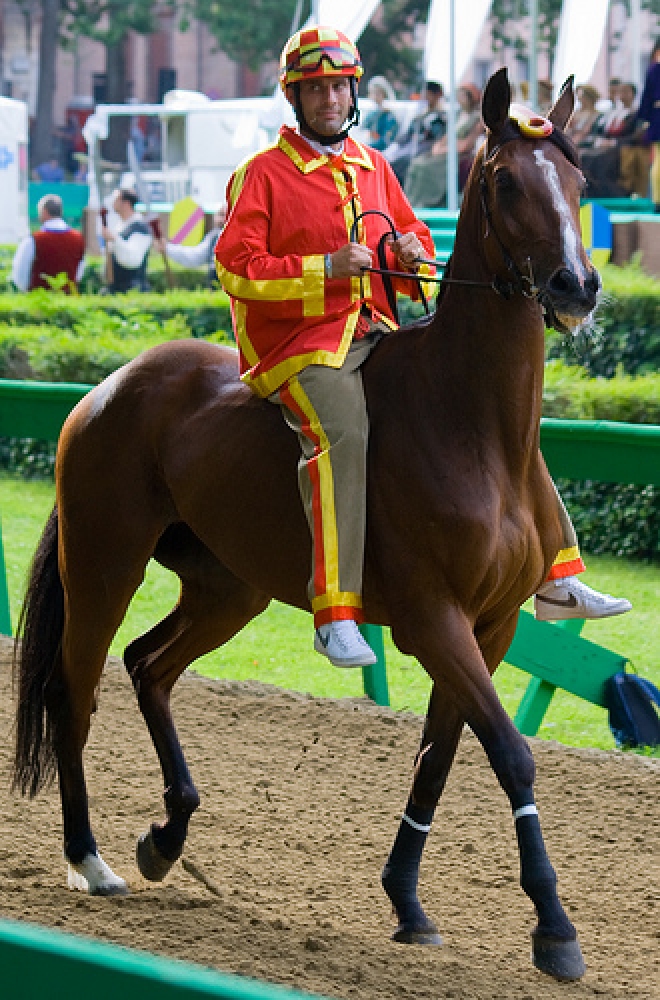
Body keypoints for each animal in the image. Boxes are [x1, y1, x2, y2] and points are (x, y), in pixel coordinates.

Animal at [11, 72, 600, 984]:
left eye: (578, 180)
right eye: (506, 182)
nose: (577, 285)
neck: (475, 427)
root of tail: (108, 387)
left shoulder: (491, 627)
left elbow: (438, 759)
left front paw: (407, 902)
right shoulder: (436, 620)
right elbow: (510, 752)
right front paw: (555, 928)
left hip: (230, 588)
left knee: (149, 666)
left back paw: (166, 835)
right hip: (104, 563)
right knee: (78, 689)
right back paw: (90, 859)